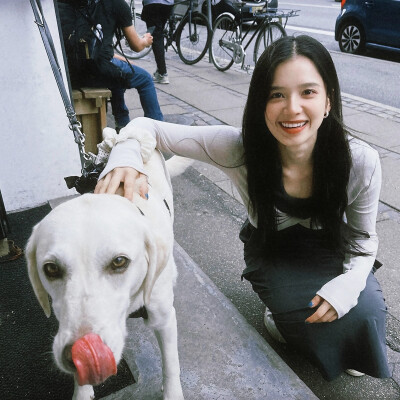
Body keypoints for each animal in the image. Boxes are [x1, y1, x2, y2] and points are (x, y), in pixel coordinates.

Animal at [26, 151, 186, 400]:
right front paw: (82, 392)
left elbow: (171, 364)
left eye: (119, 262)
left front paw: (172, 392)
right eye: (51, 269)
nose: (74, 357)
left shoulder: (165, 319)